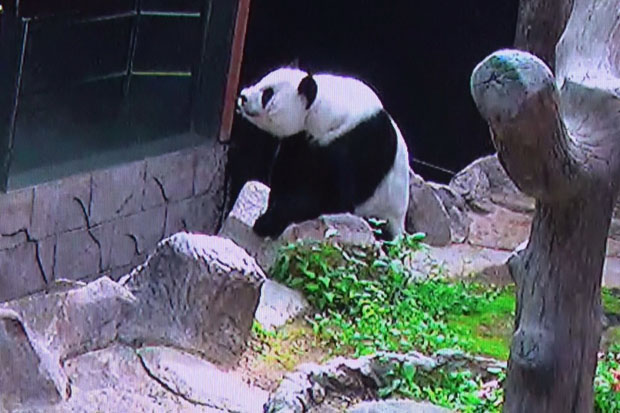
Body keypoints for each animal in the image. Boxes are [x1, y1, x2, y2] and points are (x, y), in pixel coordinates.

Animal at [235, 67, 410, 240]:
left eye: (268, 93)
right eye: (261, 80)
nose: (243, 96)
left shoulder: (357, 145)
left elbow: (331, 199)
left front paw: (267, 222)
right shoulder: (300, 139)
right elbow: (288, 172)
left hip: (384, 212)